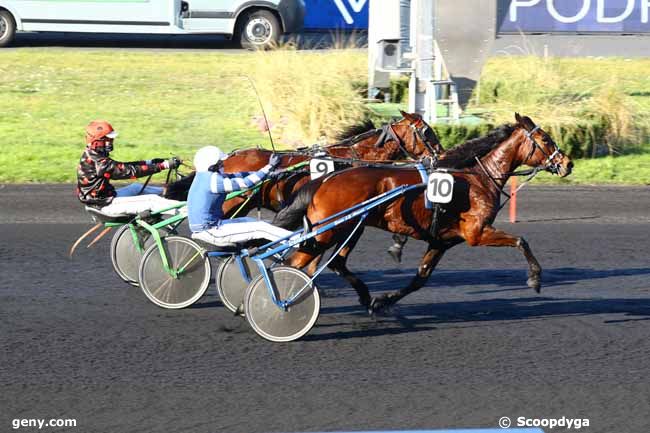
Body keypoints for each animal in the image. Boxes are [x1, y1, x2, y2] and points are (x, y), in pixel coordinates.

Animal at [274, 113, 572, 312]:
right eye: (545, 139)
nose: (567, 163)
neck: (477, 178)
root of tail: (326, 178)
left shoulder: (442, 241)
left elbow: (420, 278)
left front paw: (382, 301)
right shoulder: (477, 233)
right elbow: (521, 241)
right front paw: (535, 279)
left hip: (348, 228)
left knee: (331, 263)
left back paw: (362, 296)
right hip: (330, 230)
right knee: (295, 262)